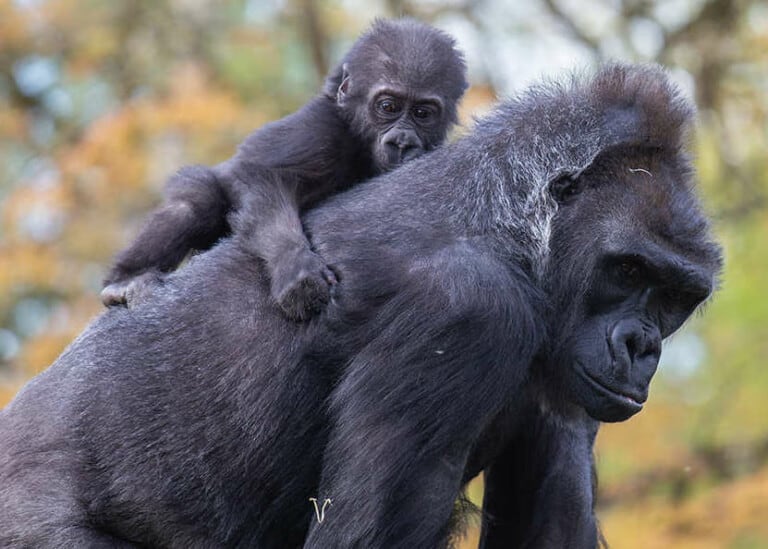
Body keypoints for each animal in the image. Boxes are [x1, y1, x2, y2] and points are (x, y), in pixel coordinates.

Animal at [102, 19, 468, 318]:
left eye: (422, 113)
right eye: (388, 106)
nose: (403, 141)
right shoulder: (319, 130)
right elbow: (263, 175)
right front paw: (296, 269)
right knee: (195, 204)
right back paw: (124, 280)